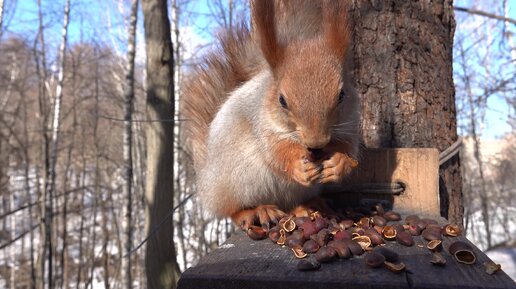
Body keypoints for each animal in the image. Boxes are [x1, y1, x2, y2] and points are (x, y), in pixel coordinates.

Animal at [181, 0, 358, 230]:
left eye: (341, 95)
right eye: (282, 100)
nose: (316, 143)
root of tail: (206, 182)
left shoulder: (350, 123)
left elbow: (348, 148)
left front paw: (338, 164)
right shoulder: (261, 124)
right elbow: (275, 153)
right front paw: (297, 167)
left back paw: (310, 205)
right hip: (235, 182)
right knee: (231, 210)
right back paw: (257, 211)